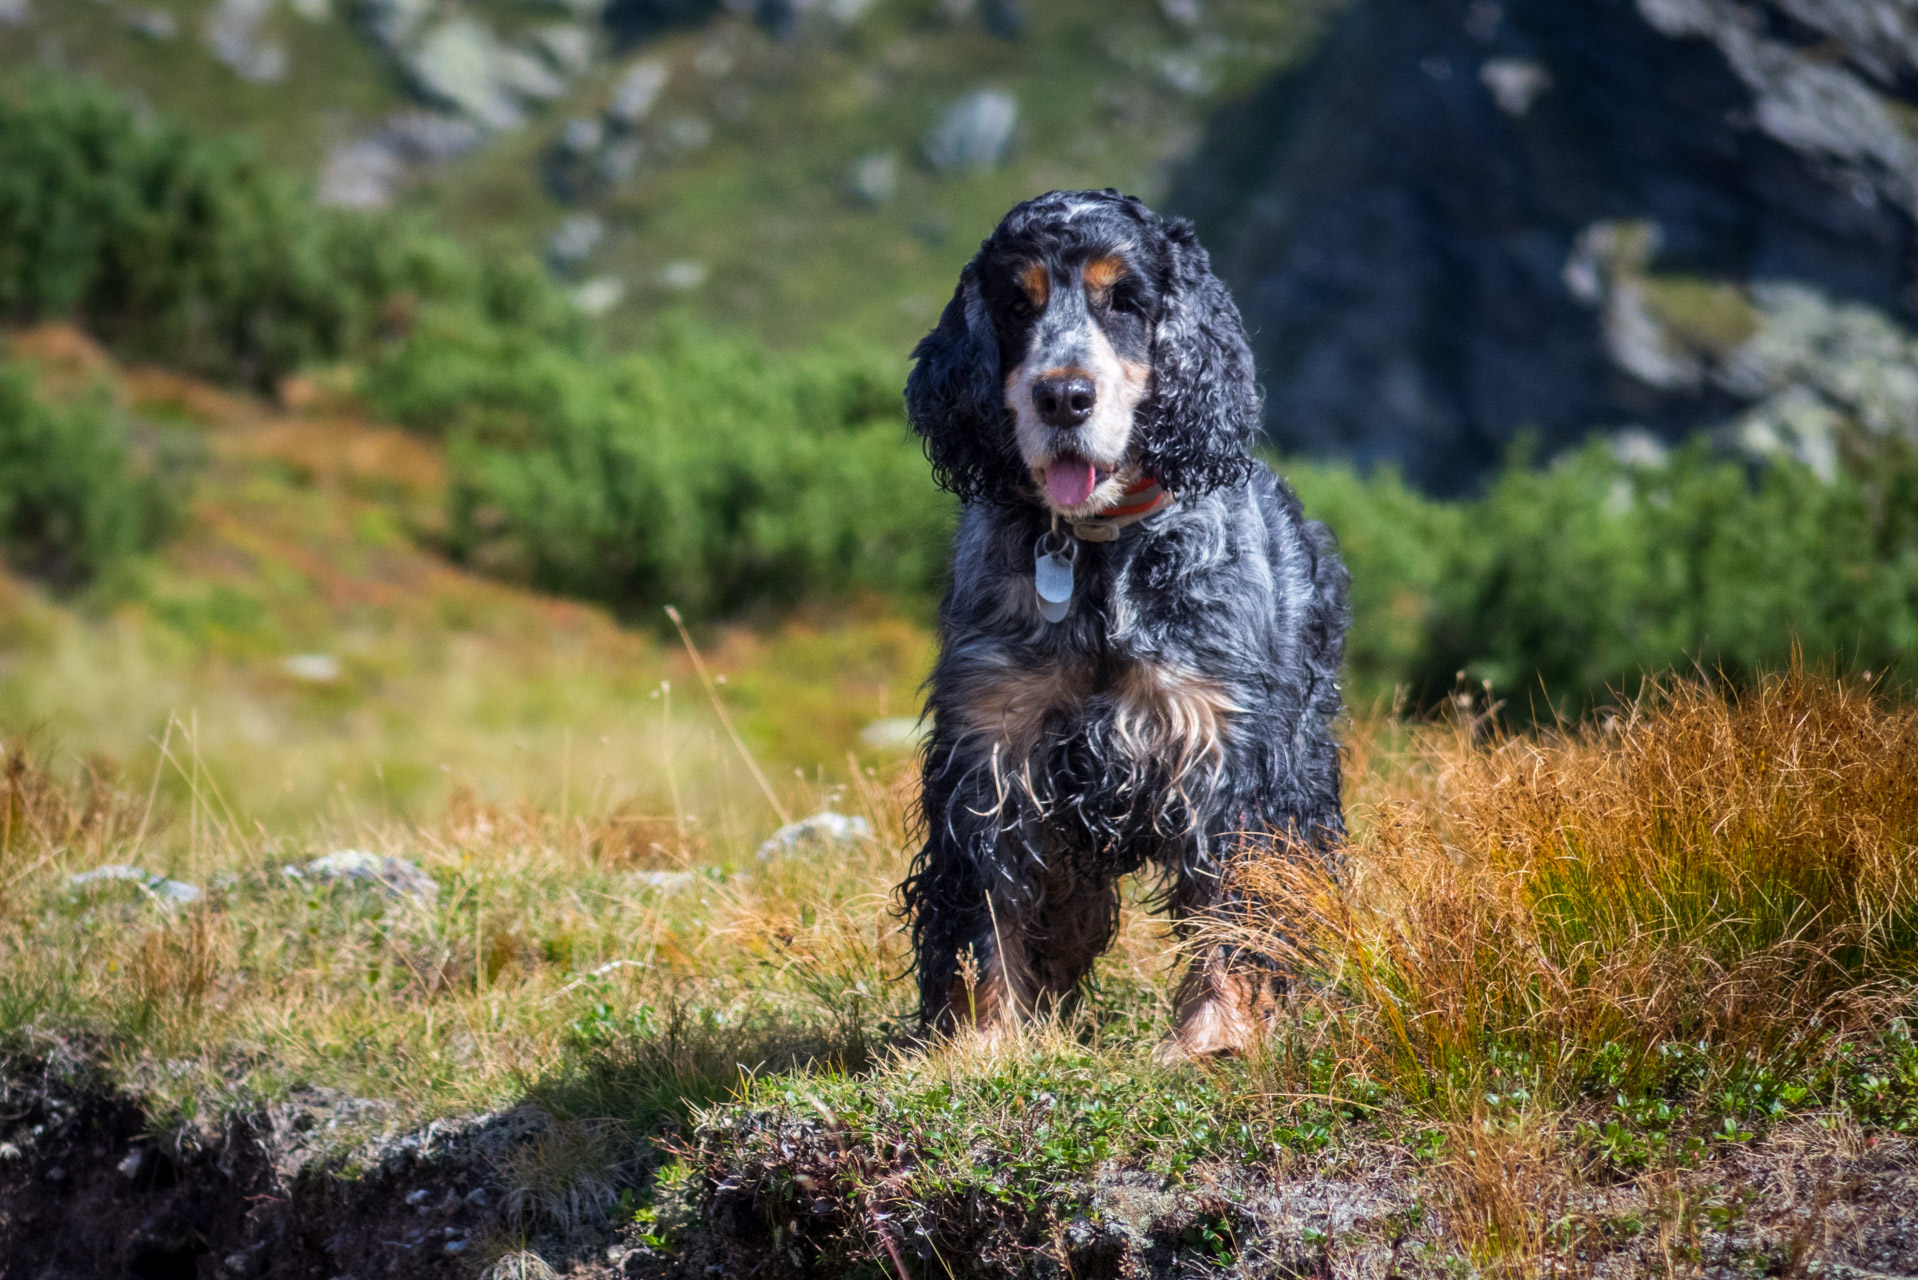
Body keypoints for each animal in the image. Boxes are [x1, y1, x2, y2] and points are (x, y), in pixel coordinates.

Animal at [897, 185, 1350, 1059]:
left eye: (1127, 301)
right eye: (1016, 304)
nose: (1064, 397)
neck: (1096, 553)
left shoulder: (1224, 748)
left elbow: (1232, 902)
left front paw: (1214, 1037)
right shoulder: (994, 750)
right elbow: (988, 910)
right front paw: (984, 1043)